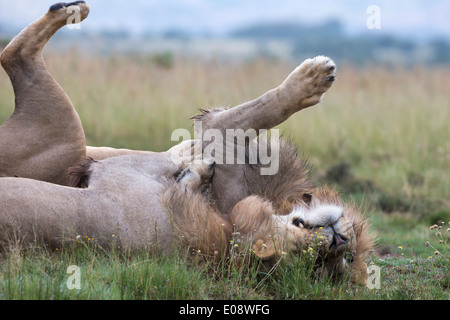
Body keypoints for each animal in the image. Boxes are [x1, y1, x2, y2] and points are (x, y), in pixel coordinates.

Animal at [0, 1, 372, 284]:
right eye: (348, 258)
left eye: (332, 263)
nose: (339, 241)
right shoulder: (216, 133)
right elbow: (264, 110)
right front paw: (314, 79)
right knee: (13, 54)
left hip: (67, 135)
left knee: (15, 55)